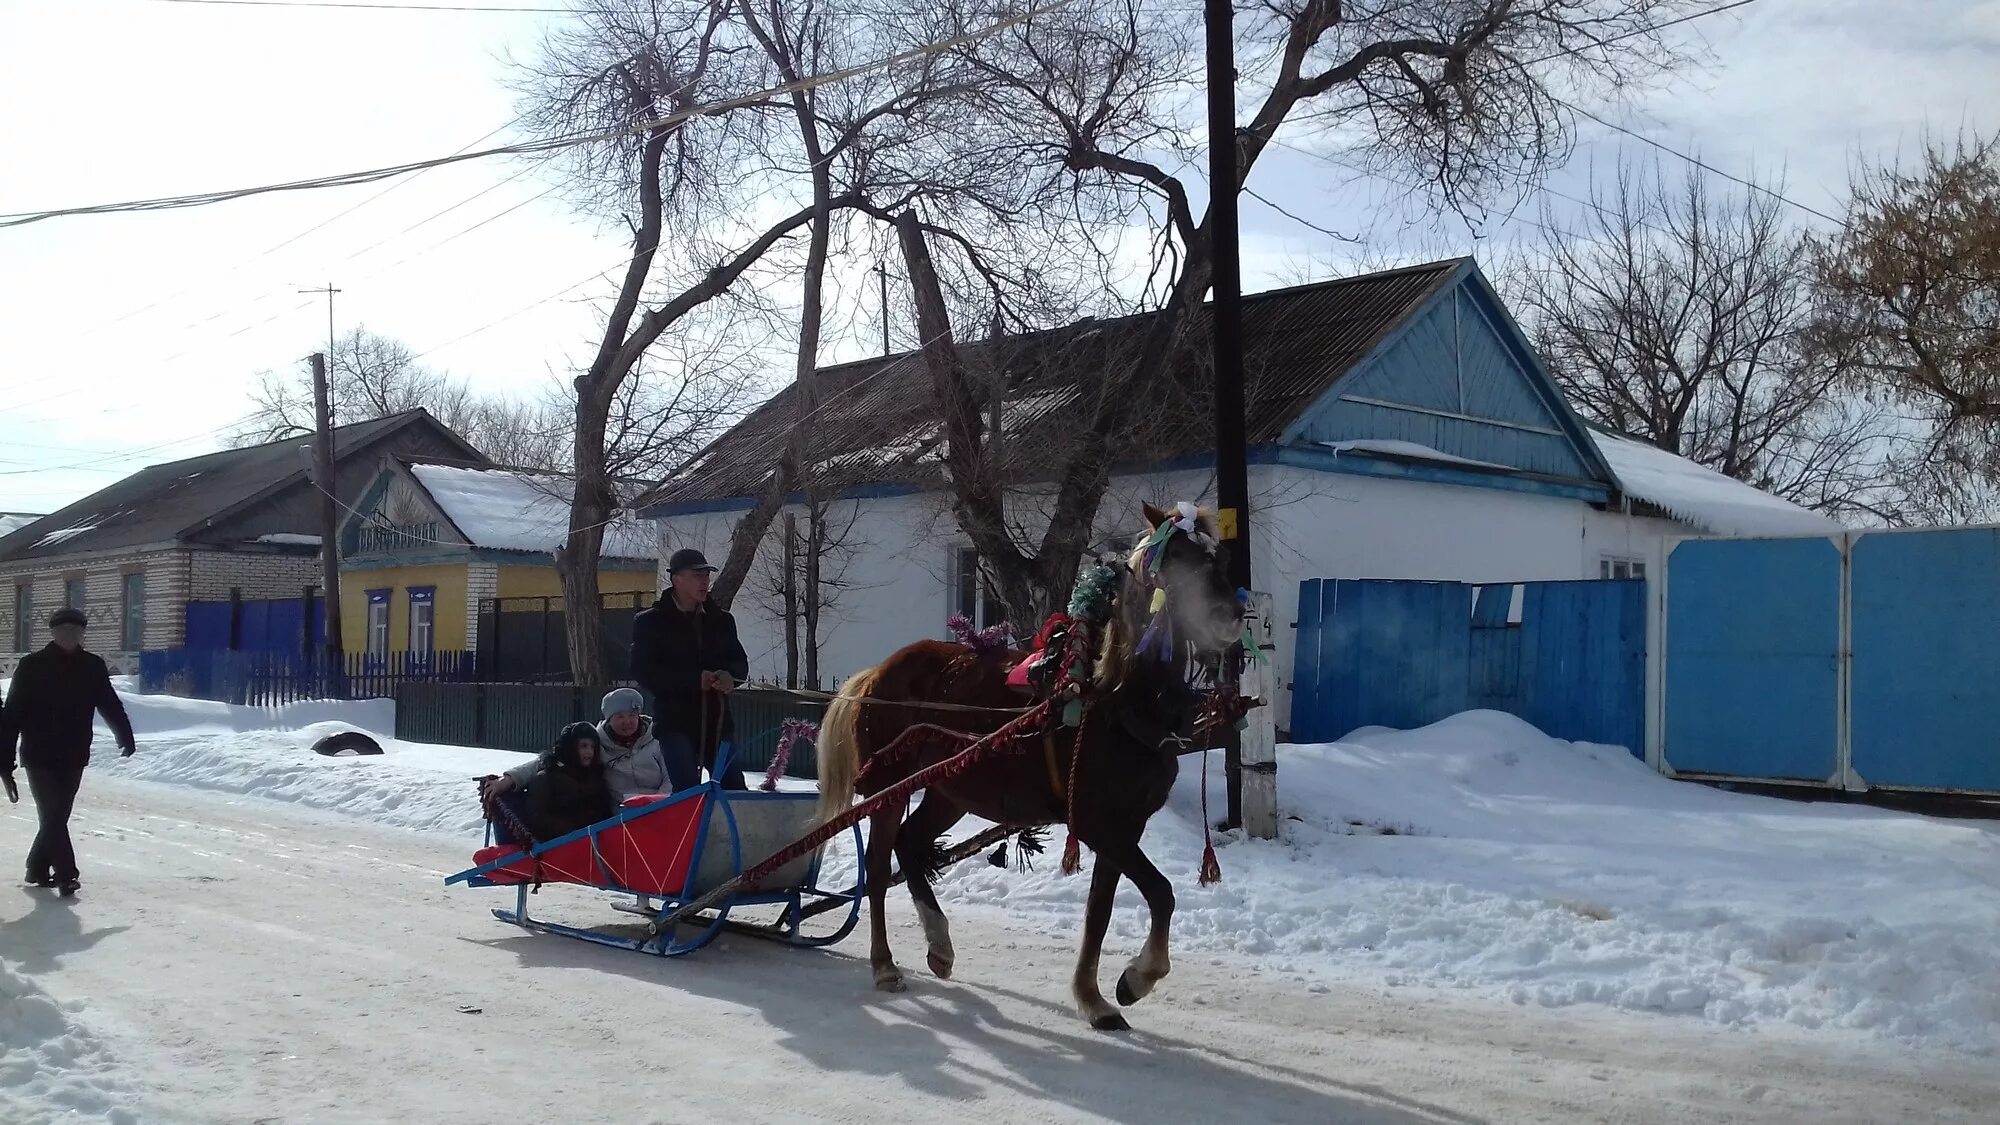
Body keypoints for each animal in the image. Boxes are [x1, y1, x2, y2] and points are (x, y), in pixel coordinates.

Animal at [816, 500, 1248, 1024]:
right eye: (1178, 559)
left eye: (1220, 559)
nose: (1232, 615)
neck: (1116, 700)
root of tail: (878, 671)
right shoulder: (1098, 822)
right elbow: (1161, 893)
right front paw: (1137, 979)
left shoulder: (1127, 825)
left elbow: (1101, 911)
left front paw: (1094, 996)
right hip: (888, 789)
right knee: (879, 869)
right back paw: (884, 965)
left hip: (949, 791)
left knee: (911, 846)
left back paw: (940, 944)